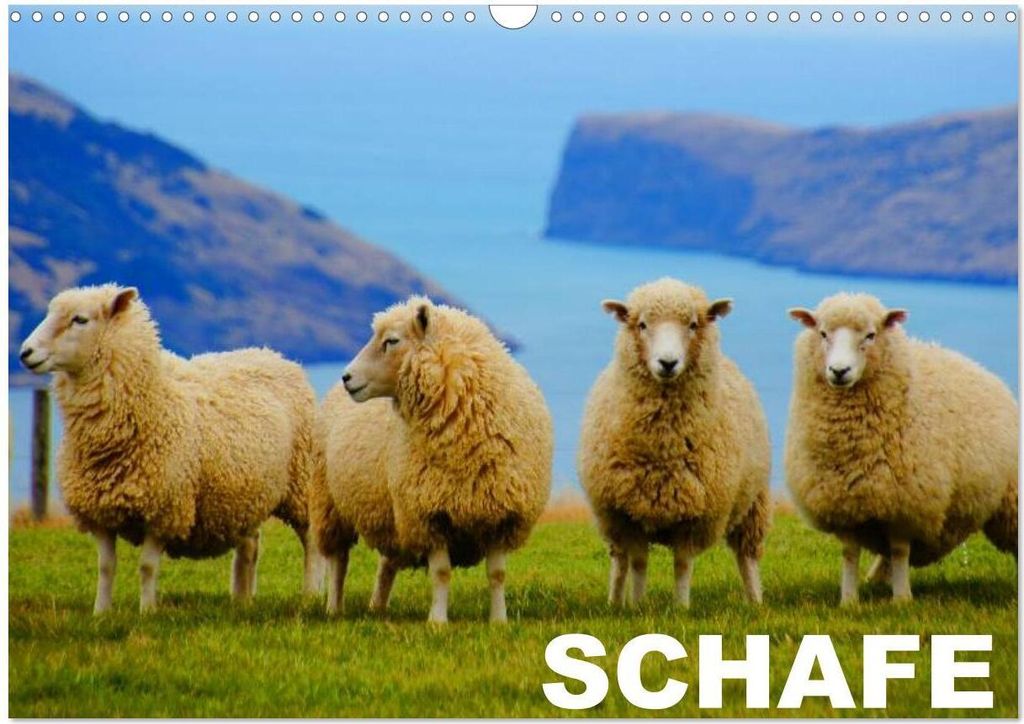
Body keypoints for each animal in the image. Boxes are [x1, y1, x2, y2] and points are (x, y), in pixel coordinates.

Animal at [19, 284, 323, 612]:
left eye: (80, 319)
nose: (25, 353)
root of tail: (273, 355)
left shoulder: (164, 509)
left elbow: (147, 566)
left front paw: (147, 611)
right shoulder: (99, 512)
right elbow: (106, 567)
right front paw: (101, 612)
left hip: (301, 484)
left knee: (310, 542)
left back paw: (310, 594)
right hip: (245, 493)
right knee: (250, 546)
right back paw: (241, 599)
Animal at [312, 296, 553, 623]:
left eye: (391, 341)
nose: (347, 377)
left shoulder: (500, 513)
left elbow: (497, 574)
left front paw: (499, 620)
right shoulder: (429, 513)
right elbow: (441, 573)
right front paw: (437, 621)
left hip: (391, 512)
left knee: (387, 562)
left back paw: (378, 607)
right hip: (332, 504)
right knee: (339, 560)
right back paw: (335, 609)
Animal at [578, 277, 772, 608]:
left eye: (693, 324)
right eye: (642, 324)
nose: (667, 363)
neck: (663, 447)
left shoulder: (696, 516)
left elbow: (682, 565)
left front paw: (681, 607)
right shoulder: (628, 514)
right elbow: (638, 562)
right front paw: (637, 606)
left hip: (753, 502)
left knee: (747, 557)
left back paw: (755, 600)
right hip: (610, 521)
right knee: (619, 561)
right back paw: (614, 602)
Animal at [785, 292, 1018, 605]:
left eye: (871, 335)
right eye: (822, 333)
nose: (839, 371)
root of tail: (983, 370)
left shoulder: (906, 502)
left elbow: (899, 550)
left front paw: (901, 599)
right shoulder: (844, 502)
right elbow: (849, 553)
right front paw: (849, 601)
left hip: (1011, 499)